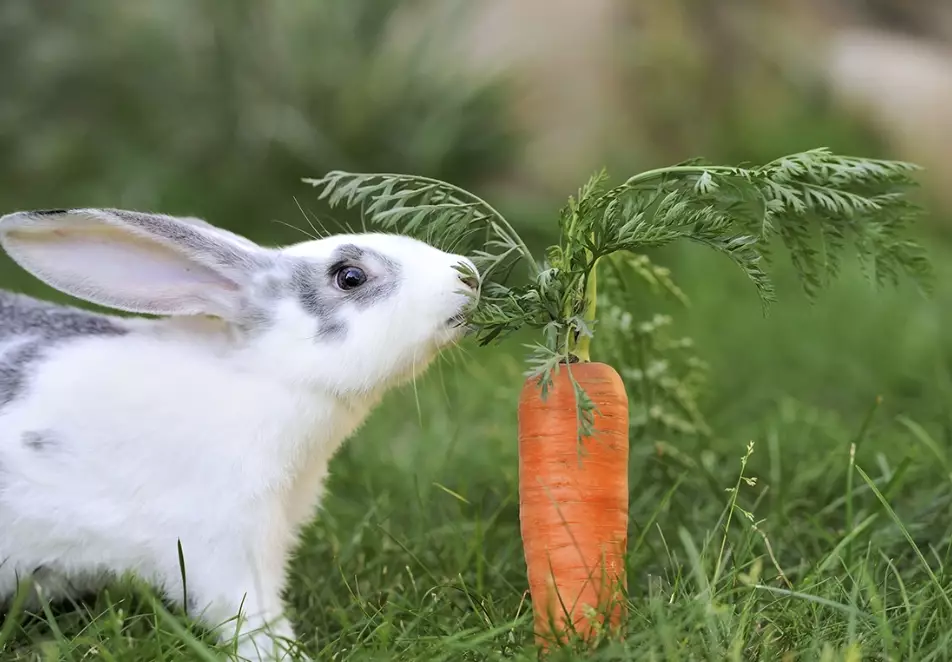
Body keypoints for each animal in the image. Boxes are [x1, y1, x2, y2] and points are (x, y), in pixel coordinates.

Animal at [0, 207, 481, 661]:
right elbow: (251, 615)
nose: (468, 275)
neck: (265, 374)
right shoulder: (226, 544)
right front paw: (286, 655)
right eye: (350, 276)